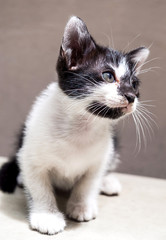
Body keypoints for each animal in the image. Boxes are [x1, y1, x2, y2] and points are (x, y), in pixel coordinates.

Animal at [0, 16, 149, 234]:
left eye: (135, 84)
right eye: (108, 76)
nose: (131, 96)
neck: (80, 126)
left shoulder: (100, 157)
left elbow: (88, 183)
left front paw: (81, 206)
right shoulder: (31, 155)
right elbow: (39, 188)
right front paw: (47, 216)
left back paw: (108, 181)